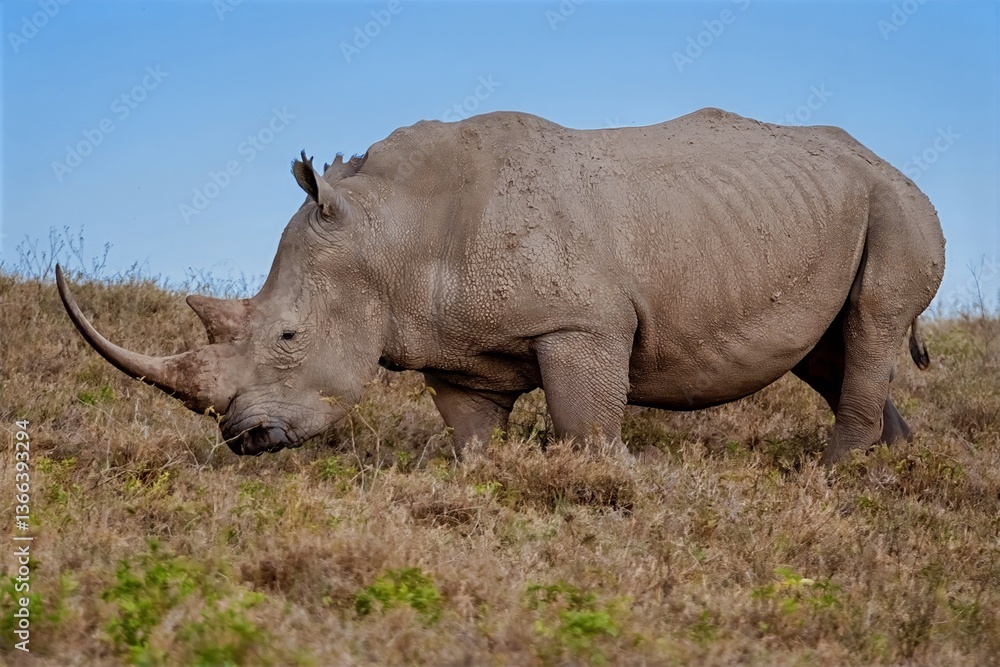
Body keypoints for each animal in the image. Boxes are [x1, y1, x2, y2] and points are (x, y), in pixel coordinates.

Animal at [57, 109, 945, 463]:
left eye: (287, 336)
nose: (244, 438)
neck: (392, 233)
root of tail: (888, 161)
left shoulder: (582, 324)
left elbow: (586, 425)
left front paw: (602, 480)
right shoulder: (458, 350)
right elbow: (470, 435)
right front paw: (482, 477)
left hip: (896, 203)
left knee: (869, 322)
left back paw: (833, 475)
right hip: (833, 209)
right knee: (830, 351)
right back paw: (888, 469)